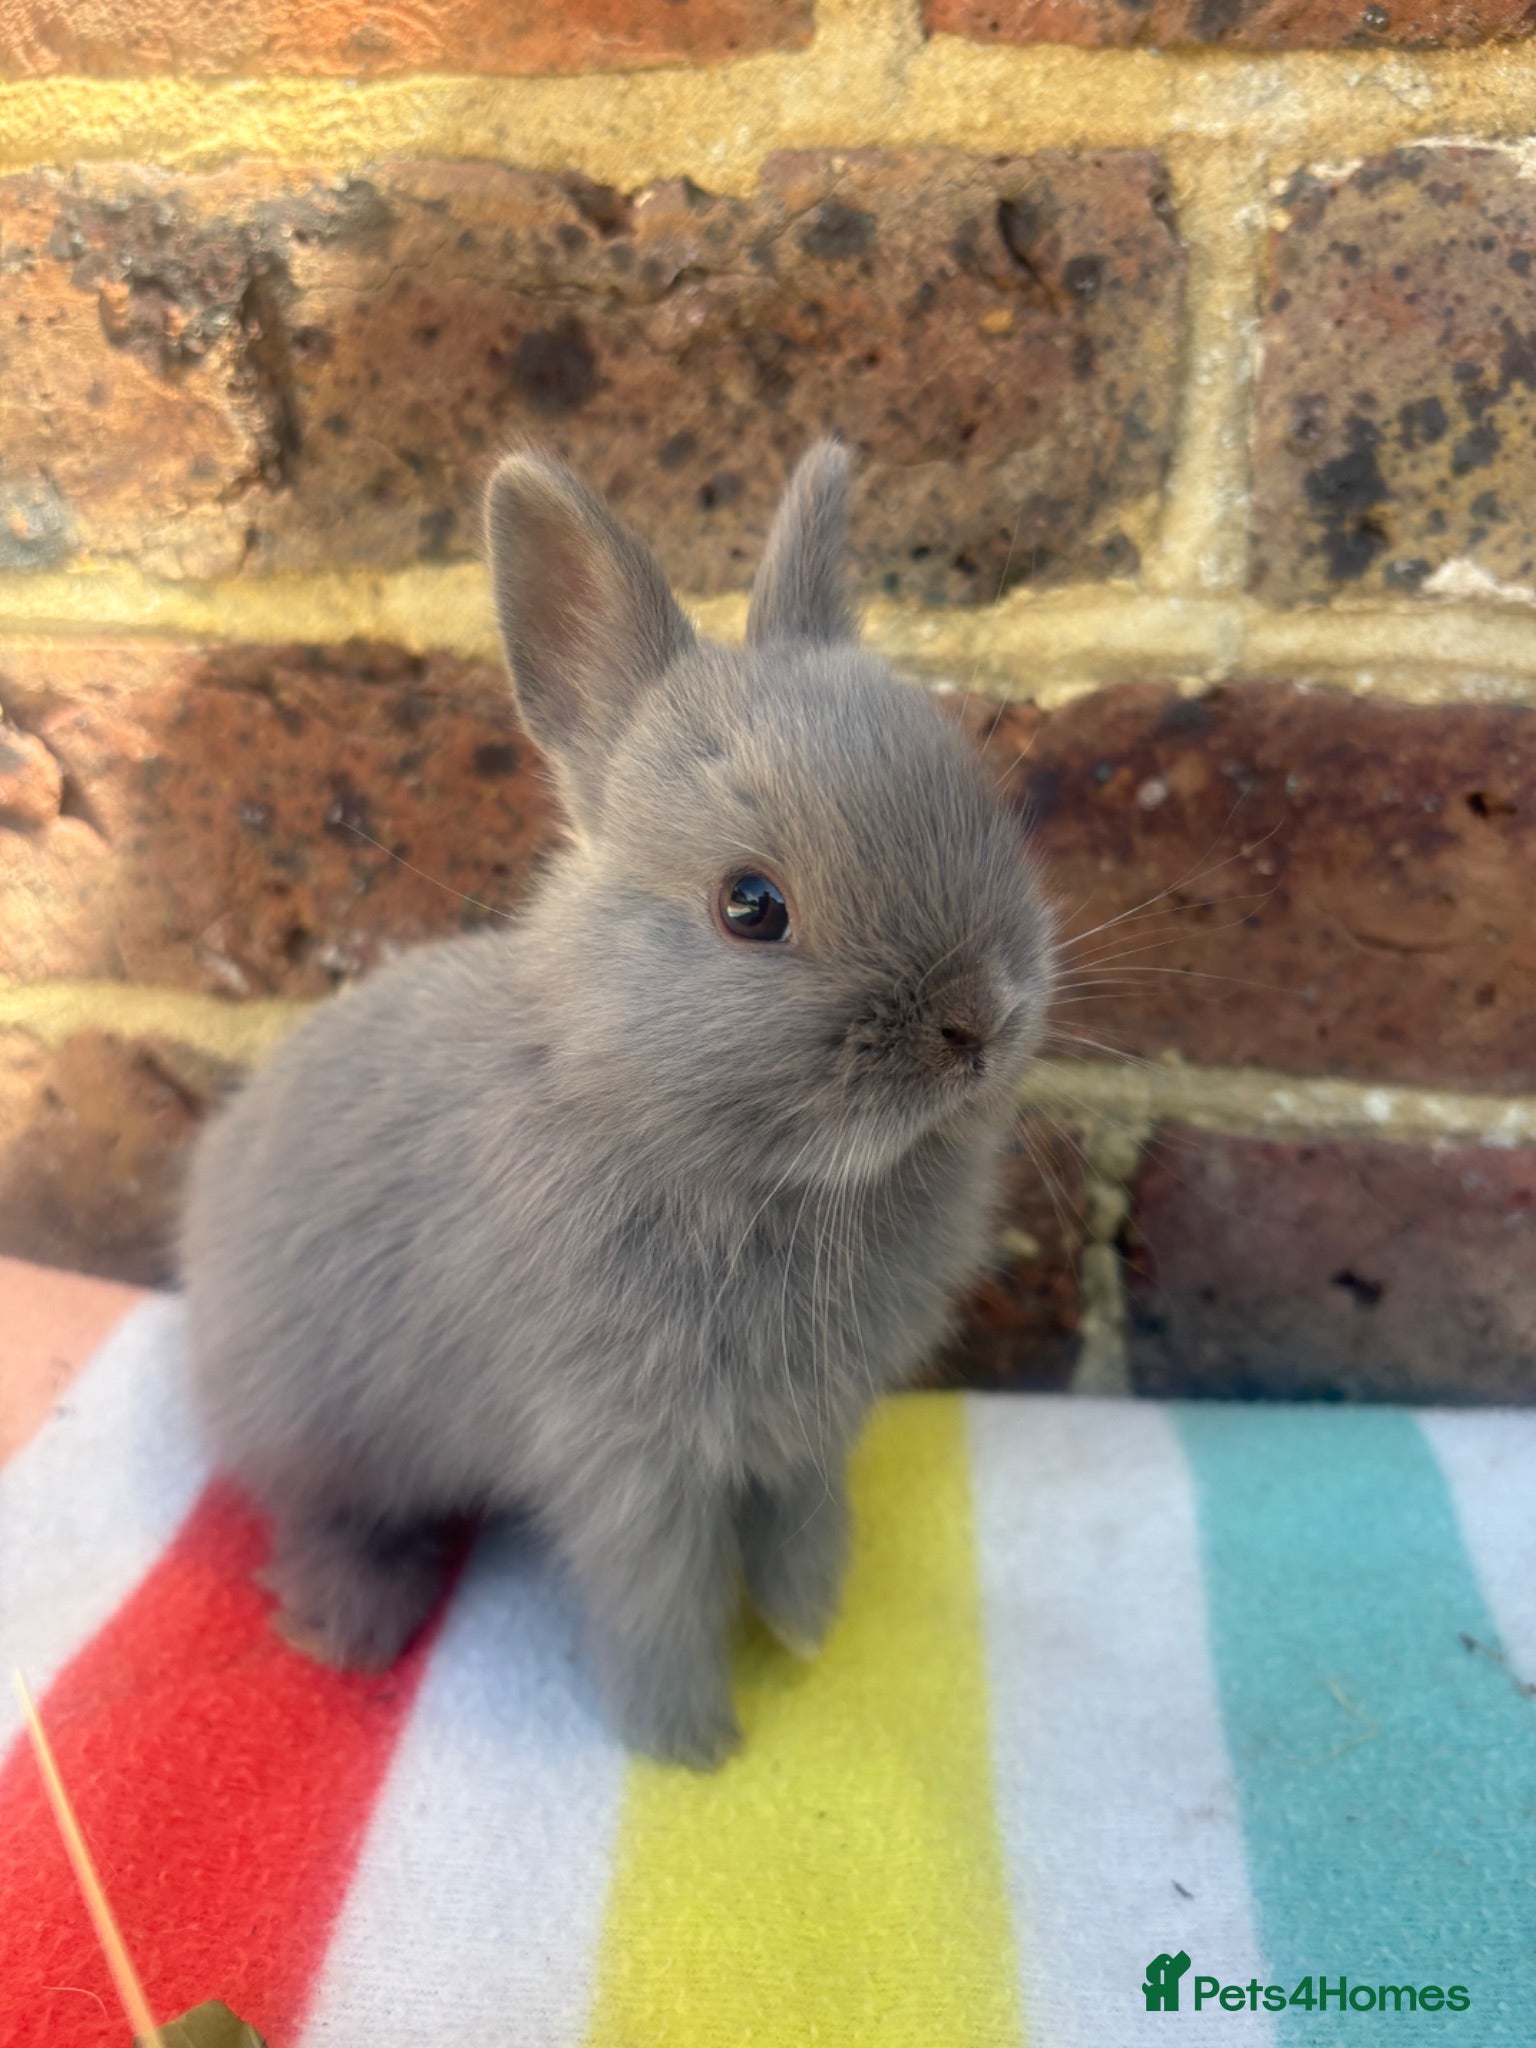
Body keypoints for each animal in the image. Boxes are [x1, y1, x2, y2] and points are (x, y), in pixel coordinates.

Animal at [180, 440, 1056, 1768]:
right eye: (750, 905)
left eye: (987, 807)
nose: (979, 1021)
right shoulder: (626, 1452)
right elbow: (662, 1598)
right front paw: (694, 1745)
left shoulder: (806, 1435)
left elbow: (804, 1533)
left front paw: (804, 1634)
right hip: (313, 1419)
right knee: (309, 1511)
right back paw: (351, 1623)